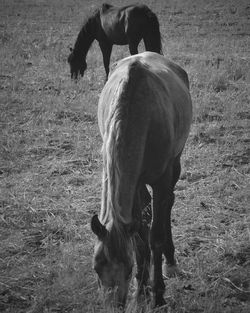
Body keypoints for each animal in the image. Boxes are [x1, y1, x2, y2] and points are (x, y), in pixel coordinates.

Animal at [91, 51, 192, 308]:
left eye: (127, 269)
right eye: (96, 268)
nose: (115, 306)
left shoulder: (161, 179)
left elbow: (155, 235)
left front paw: (157, 294)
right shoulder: (135, 183)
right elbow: (139, 236)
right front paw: (142, 290)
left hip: (174, 164)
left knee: (167, 205)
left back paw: (170, 260)